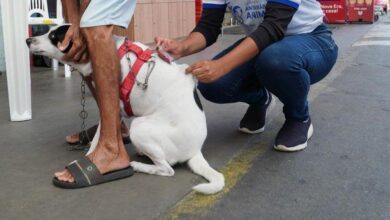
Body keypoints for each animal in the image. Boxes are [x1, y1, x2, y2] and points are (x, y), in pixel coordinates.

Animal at [25, 24, 224, 194]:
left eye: (53, 37)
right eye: (48, 31)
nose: (28, 40)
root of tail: (195, 150)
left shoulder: (112, 105)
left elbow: (98, 139)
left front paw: (91, 158)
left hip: (140, 126)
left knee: (167, 169)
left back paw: (138, 165)